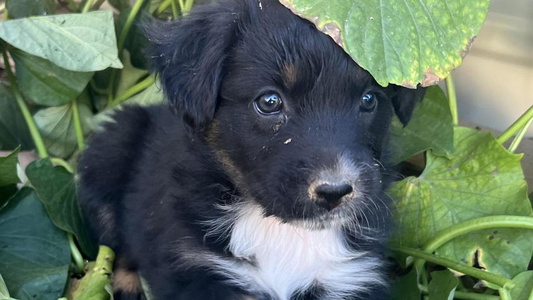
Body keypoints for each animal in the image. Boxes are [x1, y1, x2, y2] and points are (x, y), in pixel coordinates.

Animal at [77, 1, 424, 298]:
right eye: (269, 101)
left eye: (369, 99)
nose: (334, 192)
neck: (280, 230)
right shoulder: (197, 268)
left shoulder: (353, 277)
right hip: (110, 149)